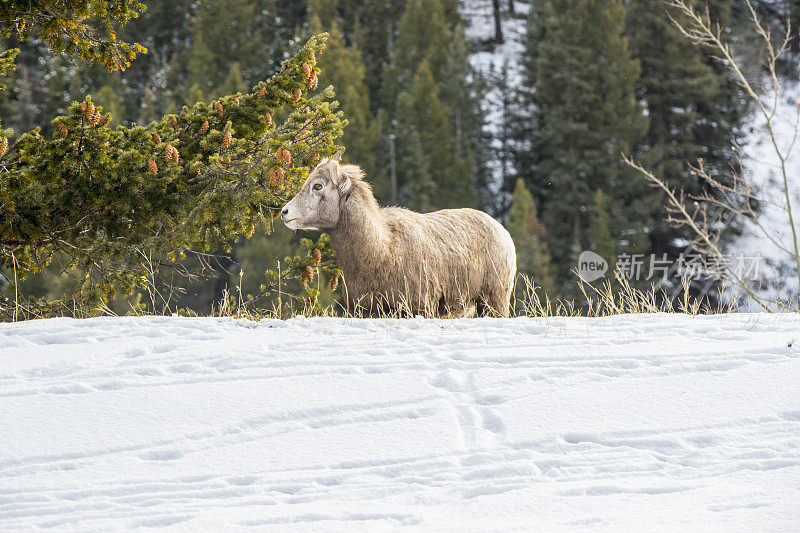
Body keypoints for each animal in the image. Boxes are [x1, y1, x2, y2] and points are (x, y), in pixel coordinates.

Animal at [282, 150, 520, 316]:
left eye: (318, 186)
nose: (285, 212)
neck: (381, 251)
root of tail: (502, 230)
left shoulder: (420, 309)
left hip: (494, 301)